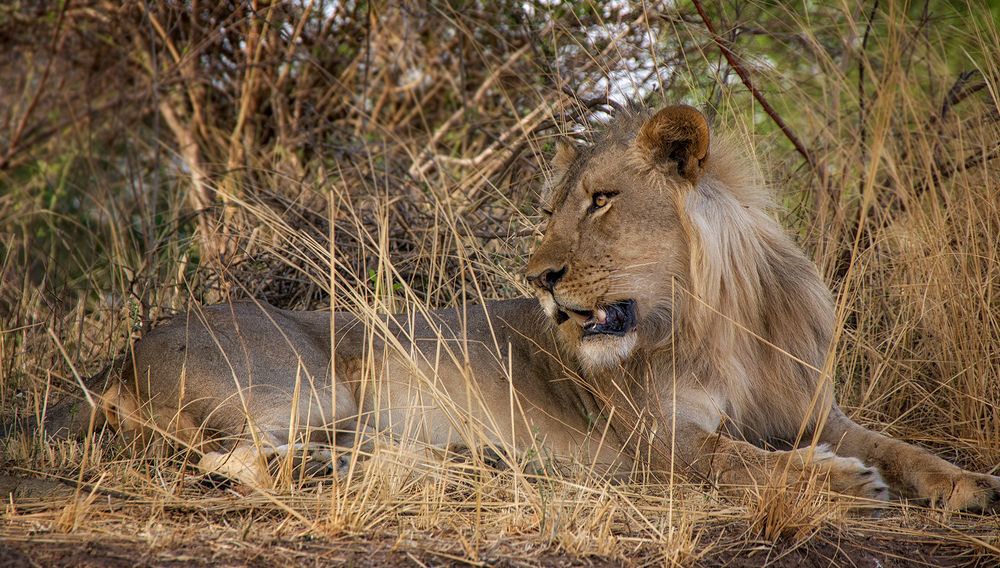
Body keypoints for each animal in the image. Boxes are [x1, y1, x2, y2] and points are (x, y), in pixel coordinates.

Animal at [21, 106, 1000, 510]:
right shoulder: (654, 445)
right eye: (555, 207)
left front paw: (966, 485)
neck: (711, 325)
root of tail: (120, 353)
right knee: (230, 461)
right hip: (303, 383)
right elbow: (740, 462)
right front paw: (839, 482)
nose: (541, 278)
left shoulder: (815, 409)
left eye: (601, 201)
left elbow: (900, 446)